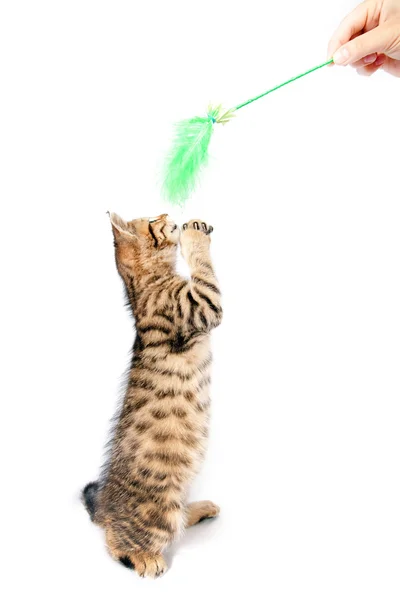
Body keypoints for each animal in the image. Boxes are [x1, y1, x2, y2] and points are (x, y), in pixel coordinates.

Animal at [81, 212, 223, 576]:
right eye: (150, 221)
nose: (167, 215)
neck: (146, 288)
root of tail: (105, 510)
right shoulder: (202, 304)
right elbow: (203, 268)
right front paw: (194, 235)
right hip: (160, 510)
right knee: (118, 542)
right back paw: (145, 557)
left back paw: (201, 508)